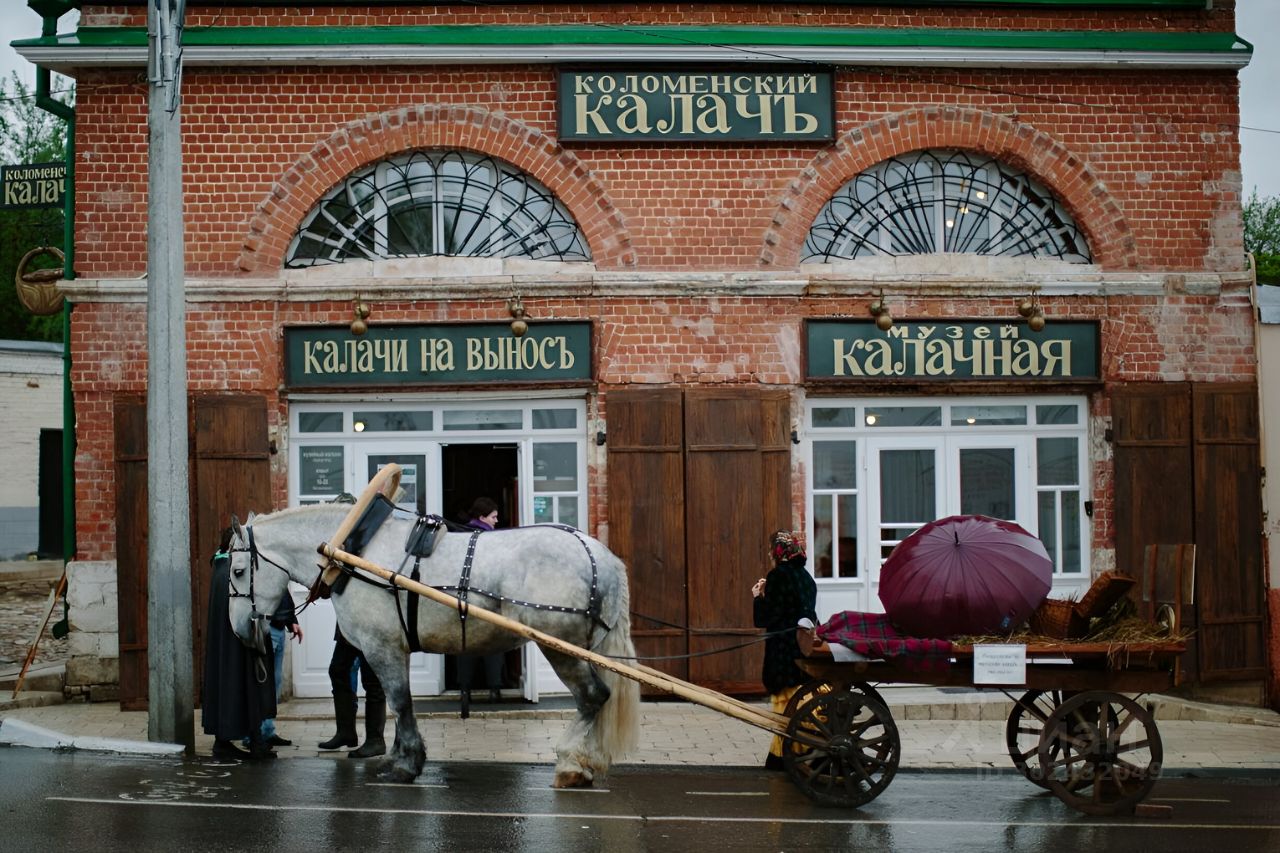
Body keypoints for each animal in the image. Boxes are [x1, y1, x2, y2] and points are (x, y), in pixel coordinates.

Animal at [225, 502, 640, 788]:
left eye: (238, 571)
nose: (240, 630)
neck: (354, 552)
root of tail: (599, 555)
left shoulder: (382, 647)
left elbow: (400, 702)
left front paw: (406, 764)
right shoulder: (387, 650)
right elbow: (396, 704)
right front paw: (396, 757)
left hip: (558, 645)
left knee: (593, 697)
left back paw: (570, 763)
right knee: (599, 699)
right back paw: (589, 761)